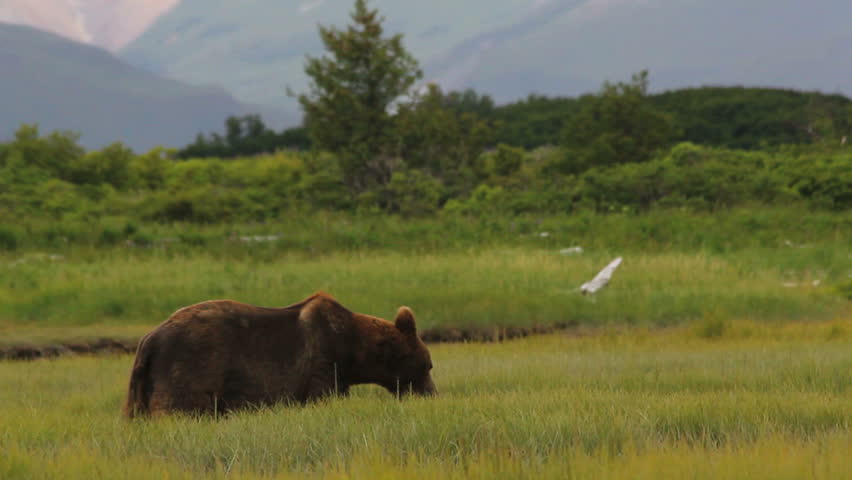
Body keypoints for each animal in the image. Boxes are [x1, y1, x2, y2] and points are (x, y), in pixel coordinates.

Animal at [124, 292, 436, 417]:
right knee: (181, 407)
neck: (354, 350)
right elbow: (322, 396)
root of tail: (149, 338)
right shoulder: (322, 360)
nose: (432, 394)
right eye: (428, 365)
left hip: (142, 384)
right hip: (189, 363)